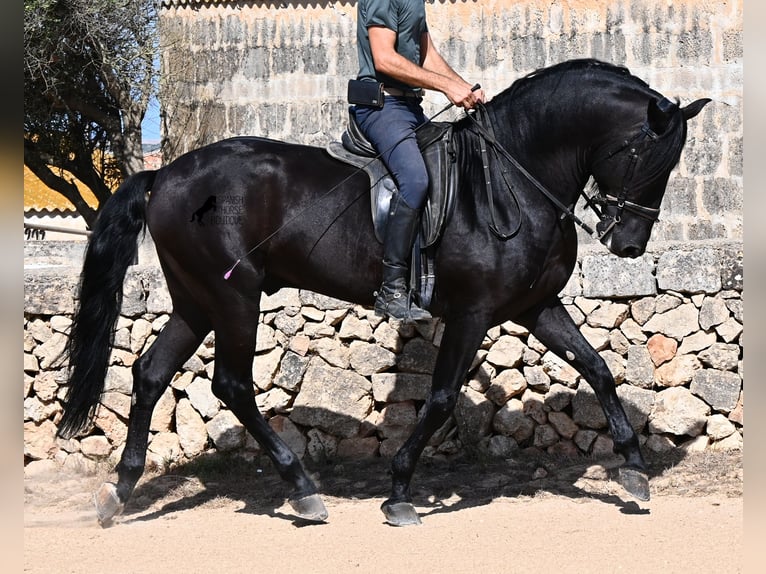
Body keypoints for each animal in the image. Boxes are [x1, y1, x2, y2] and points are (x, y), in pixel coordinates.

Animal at [57, 59, 710, 527]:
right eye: (645, 154)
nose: (628, 243)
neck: (513, 178)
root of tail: (164, 174)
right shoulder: (472, 313)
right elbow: (442, 398)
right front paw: (398, 491)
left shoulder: (534, 306)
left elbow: (598, 369)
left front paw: (633, 470)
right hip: (236, 298)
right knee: (232, 385)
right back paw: (303, 491)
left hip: (198, 300)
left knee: (150, 373)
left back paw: (120, 491)